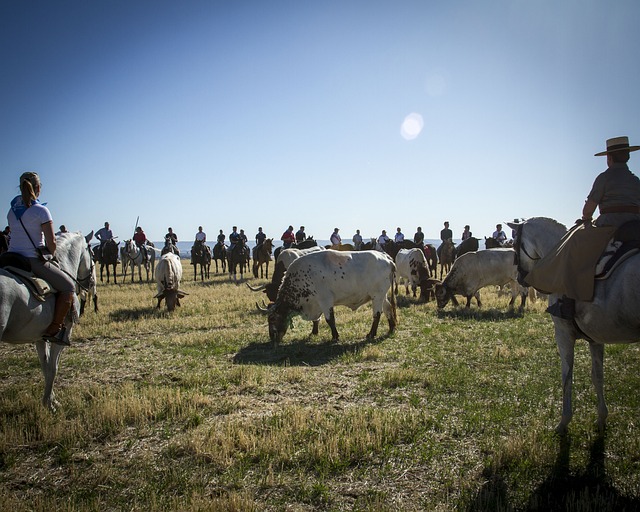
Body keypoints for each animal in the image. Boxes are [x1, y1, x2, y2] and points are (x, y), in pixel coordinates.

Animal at [0, 232, 94, 412]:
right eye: (92, 254)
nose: (90, 283)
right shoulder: (63, 334)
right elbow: (53, 367)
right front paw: (50, 403)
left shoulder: (40, 336)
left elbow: (45, 366)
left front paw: (51, 399)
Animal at [264, 249, 396, 342]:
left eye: (272, 318)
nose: (272, 337)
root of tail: (387, 258)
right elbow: (317, 320)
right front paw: (314, 332)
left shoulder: (325, 301)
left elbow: (330, 320)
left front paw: (334, 337)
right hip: (381, 296)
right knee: (388, 309)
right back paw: (391, 328)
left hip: (377, 295)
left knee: (377, 315)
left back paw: (371, 334)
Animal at [510, 218, 640, 434]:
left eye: (514, 244)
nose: (520, 277)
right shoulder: (596, 337)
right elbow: (598, 376)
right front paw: (601, 418)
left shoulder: (563, 334)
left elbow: (567, 376)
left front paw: (564, 421)